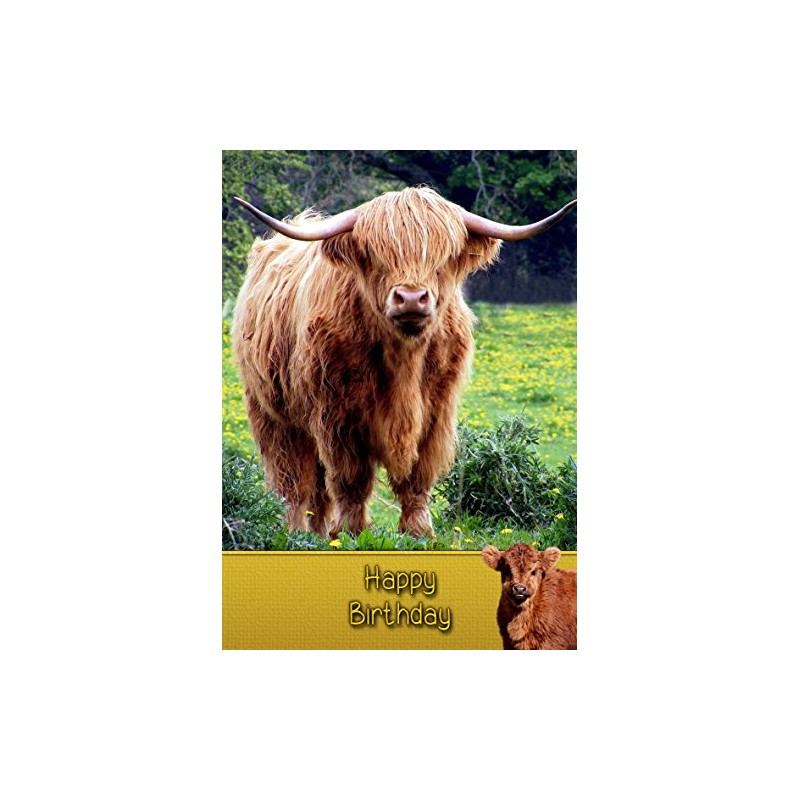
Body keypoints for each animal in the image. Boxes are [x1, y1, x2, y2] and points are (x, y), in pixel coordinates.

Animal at [232, 186, 576, 538]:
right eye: (376, 255)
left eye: (443, 258)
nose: (411, 298)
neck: (404, 362)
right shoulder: (337, 416)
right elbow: (351, 478)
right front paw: (351, 532)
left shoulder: (435, 414)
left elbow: (417, 477)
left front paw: (418, 531)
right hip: (272, 414)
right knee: (291, 481)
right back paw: (294, 532)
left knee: (316, 489)